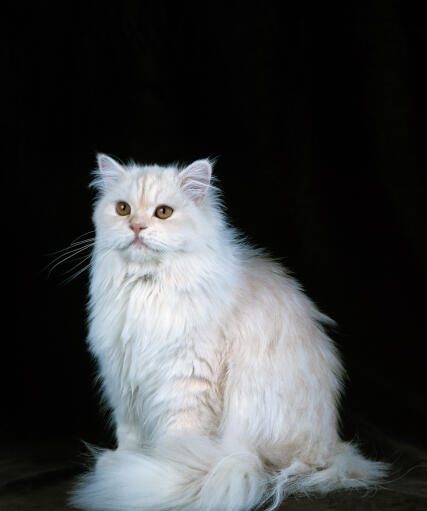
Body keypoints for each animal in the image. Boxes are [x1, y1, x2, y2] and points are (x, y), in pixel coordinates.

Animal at [71, 156, 388, 511]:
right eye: (123, 209)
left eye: (163, 212)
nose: (136, 227)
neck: (147, 288)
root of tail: (329, 448)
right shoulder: (123, 382)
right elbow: (129, 435)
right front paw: (127, 460)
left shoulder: (185, 384)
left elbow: (174, 442)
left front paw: (156, 469)